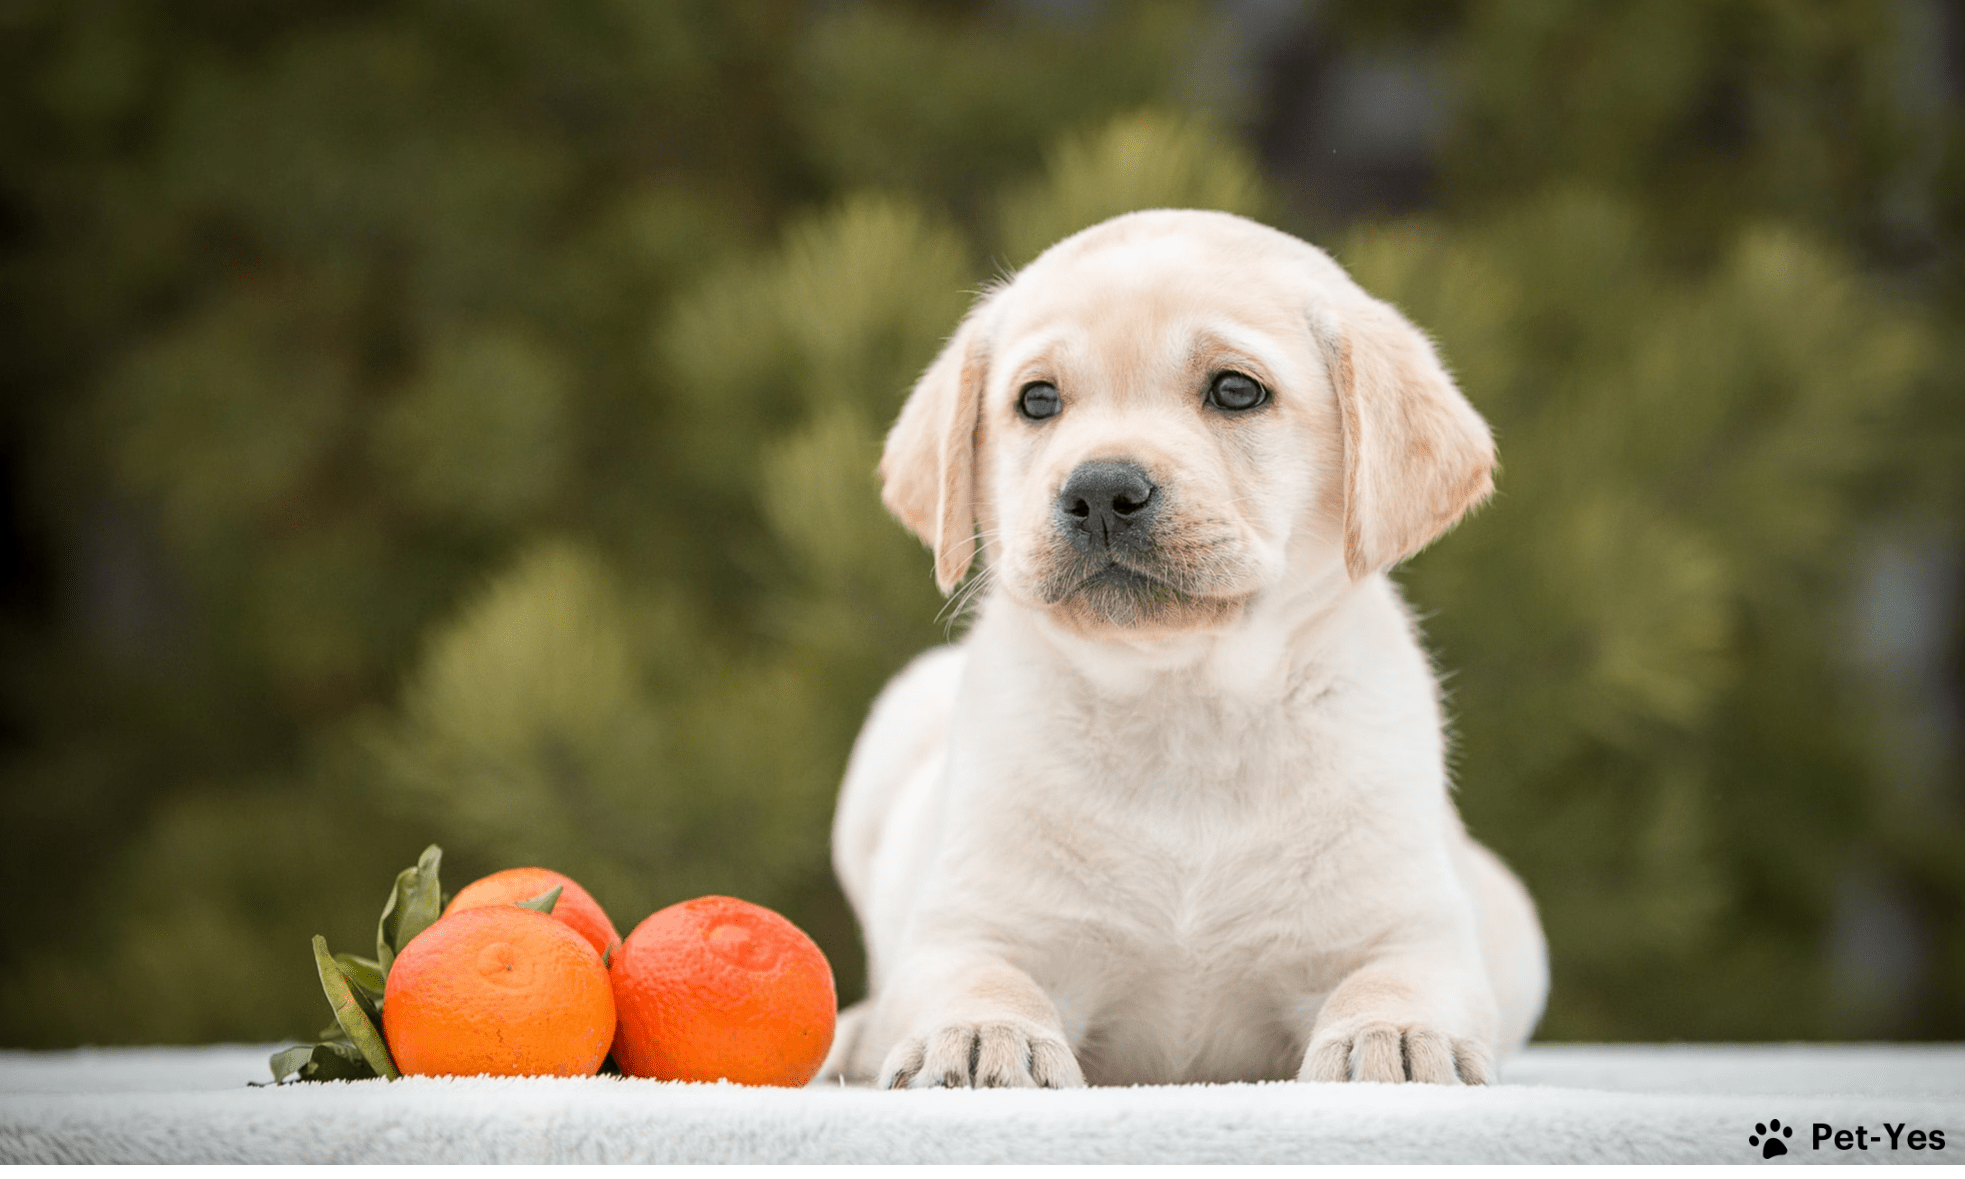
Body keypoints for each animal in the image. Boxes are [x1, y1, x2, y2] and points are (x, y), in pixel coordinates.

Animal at [821, 205, 1540, 1084]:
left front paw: (1399, 1037)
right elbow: (978, 978)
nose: (1099, 490)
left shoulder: (1410, 929)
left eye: (1235, 390)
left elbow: (1393, 981)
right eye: (1037, 400)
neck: (1181, 703)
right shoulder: (971, 923)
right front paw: (982, 1034)